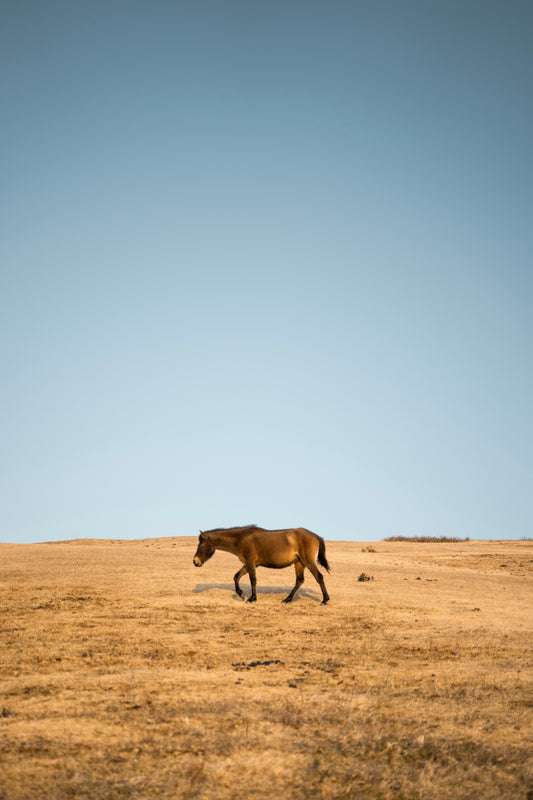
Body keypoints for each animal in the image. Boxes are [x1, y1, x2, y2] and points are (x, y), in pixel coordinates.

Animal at [191, 524, 328, 600]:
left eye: (201, 545)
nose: (195, 561)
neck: (241, 538)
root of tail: (316, 536)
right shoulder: (248, 564)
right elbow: (236, 576)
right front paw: (240, 594)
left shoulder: (250, 563)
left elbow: (253, 580)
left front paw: (252, 598)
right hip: (299, 563)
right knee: (299, 581)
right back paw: (287, 599)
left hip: (308, 561)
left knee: (319, 577)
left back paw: (325, 599)